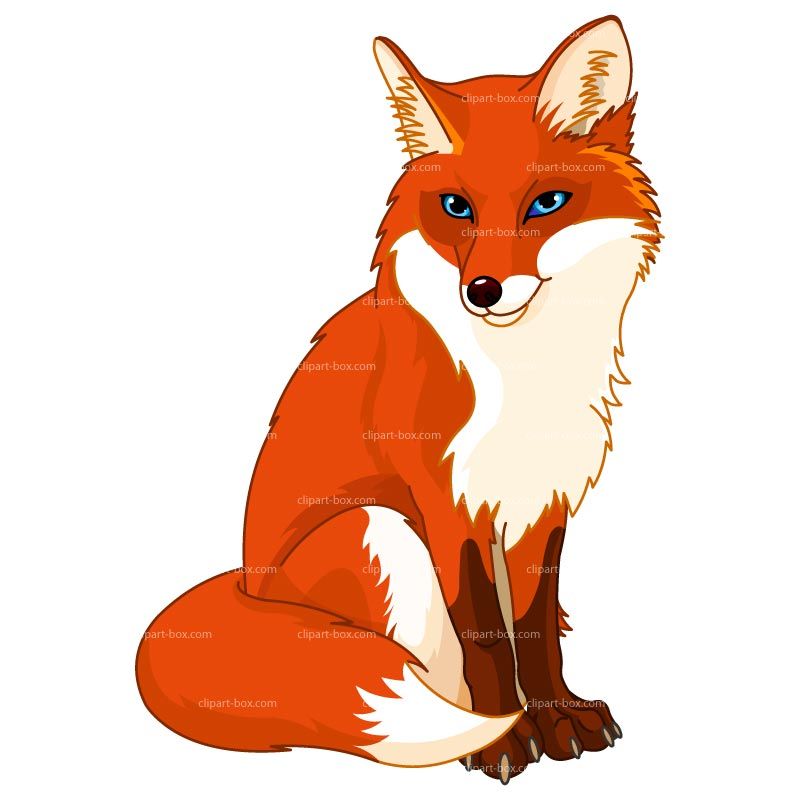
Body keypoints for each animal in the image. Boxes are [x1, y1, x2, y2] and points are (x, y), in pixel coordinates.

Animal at [136, 16, 660, 785]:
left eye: (545, 204)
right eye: (456, 208)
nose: (482, 291)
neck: (520, 375)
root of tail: (245, 586)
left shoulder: (540, 500)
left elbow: (535, 629)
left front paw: (557, 714)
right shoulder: (445, 501)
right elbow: (485, 638)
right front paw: (507, 737)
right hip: (377, 527)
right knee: (425, 672)